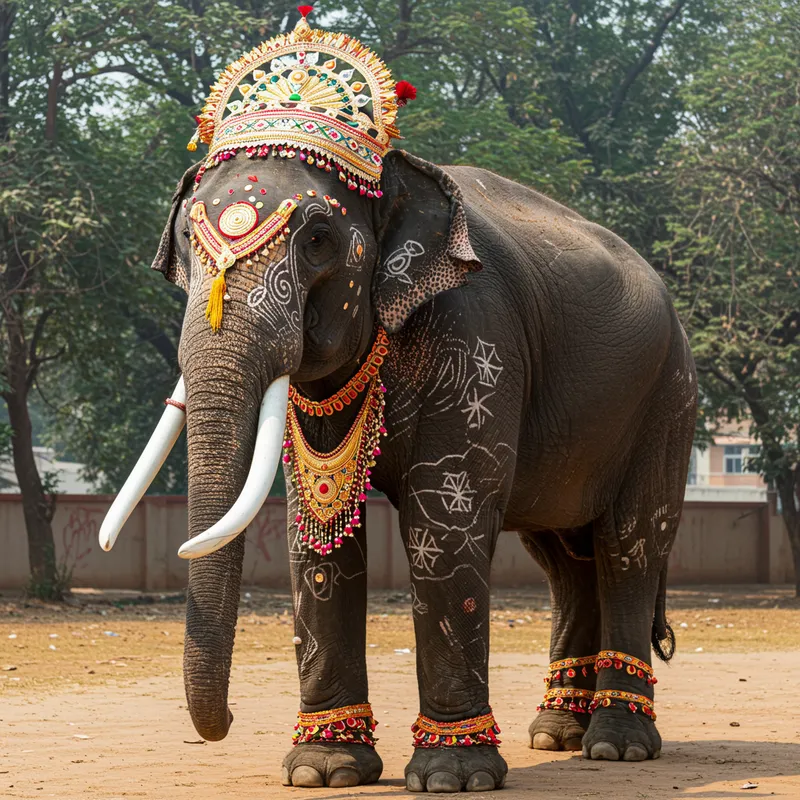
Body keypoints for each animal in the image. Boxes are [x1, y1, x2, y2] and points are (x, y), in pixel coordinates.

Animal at [101, 146, 696, 792]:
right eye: (187, 238)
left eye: (318, 239)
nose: (228, 721)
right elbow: (318, 527)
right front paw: (323, 771)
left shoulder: (476, 339)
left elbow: (446, 517)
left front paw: (452, 778)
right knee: (564, 558)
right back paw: (556, 734)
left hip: (666, 398)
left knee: (627, 547)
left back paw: (617, 746)